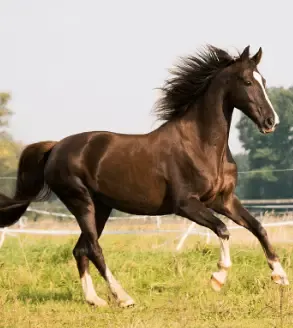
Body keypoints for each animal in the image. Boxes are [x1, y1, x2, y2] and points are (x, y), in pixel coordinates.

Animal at [0, 44, 288, 308]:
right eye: (248, 81)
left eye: (264, 81)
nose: (271, 122)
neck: (201, 145)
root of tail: (55, 147)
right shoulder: (186, 205)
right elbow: (223, 229)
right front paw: (218, 277)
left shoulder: (223, 200)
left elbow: (258, 227)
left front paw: (280, 276)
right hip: (81, 202)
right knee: (94, 249)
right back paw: (123, 297)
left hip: (100, 207)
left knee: (80, 249)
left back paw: (95, 300)